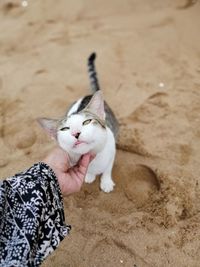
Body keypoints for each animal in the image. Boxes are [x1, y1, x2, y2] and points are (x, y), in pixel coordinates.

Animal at [37, 52, 119, 193]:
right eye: (65, 129)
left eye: (87, 122)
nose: (76, 133)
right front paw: (89, 175)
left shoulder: (111, 150)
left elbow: (108, 168)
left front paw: (106, 181)